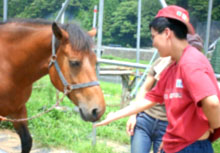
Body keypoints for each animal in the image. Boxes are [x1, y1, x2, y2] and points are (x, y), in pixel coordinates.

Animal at [0, 19, 105, 153]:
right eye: (74, 62)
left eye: (95, 61)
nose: (98, 110)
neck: (8, 67)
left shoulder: (18, 110)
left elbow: (27, 141)